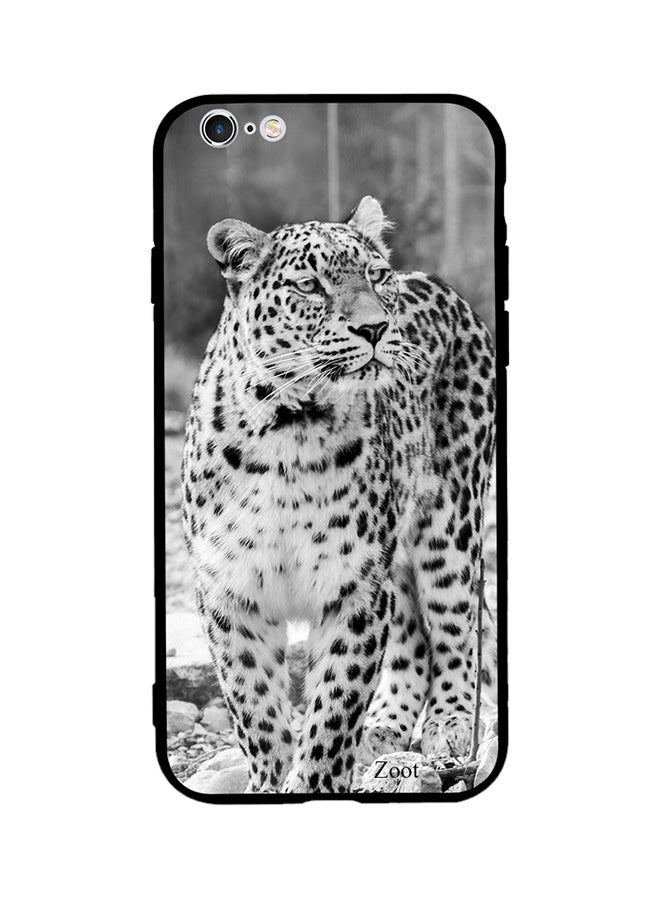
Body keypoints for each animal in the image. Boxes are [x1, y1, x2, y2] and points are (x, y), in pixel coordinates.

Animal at [181, 196, 496, 794]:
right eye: (309, 285)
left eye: (375, 276)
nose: (375, 328)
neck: (286, 430)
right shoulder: (231, 593)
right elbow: (256, 708)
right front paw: (268, 782)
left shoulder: (352, 589)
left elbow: (333, 706)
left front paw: (312, 783)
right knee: (412, 640)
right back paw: (385, 729)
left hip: (449, 529)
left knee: (456, 629)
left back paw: (448, 725)